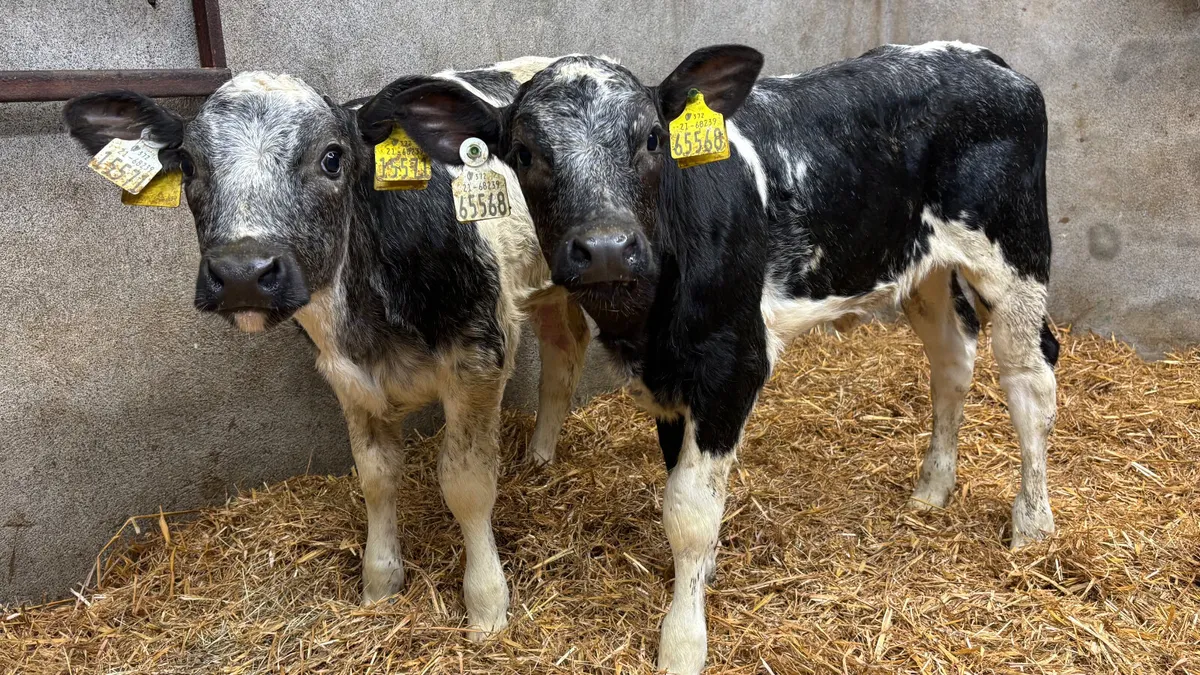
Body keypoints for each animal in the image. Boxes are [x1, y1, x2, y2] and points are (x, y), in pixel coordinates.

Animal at [61, 57, 592, 640]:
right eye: (189, 165)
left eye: (332, 158)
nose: (243, 274)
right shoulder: (347, 377)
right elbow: (377, 476)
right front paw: (379, 586)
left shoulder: (479, 357)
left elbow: (466, 483)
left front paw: (487, 610)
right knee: (566, 350)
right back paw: (540, 455)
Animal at [384, 42, 1060, 672]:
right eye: (524, 153)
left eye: (652, 138)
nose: (605, 248)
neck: (649, 319)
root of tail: (983, 59)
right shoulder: (666, 381)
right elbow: (681, 487)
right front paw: (700, 577)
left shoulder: (732, 366)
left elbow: (690, 511)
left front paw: (683, 641)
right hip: (924, 269)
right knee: (952, 360)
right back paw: (933, 488)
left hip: (1016, 252)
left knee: (1030, 378)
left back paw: (1032, 525)